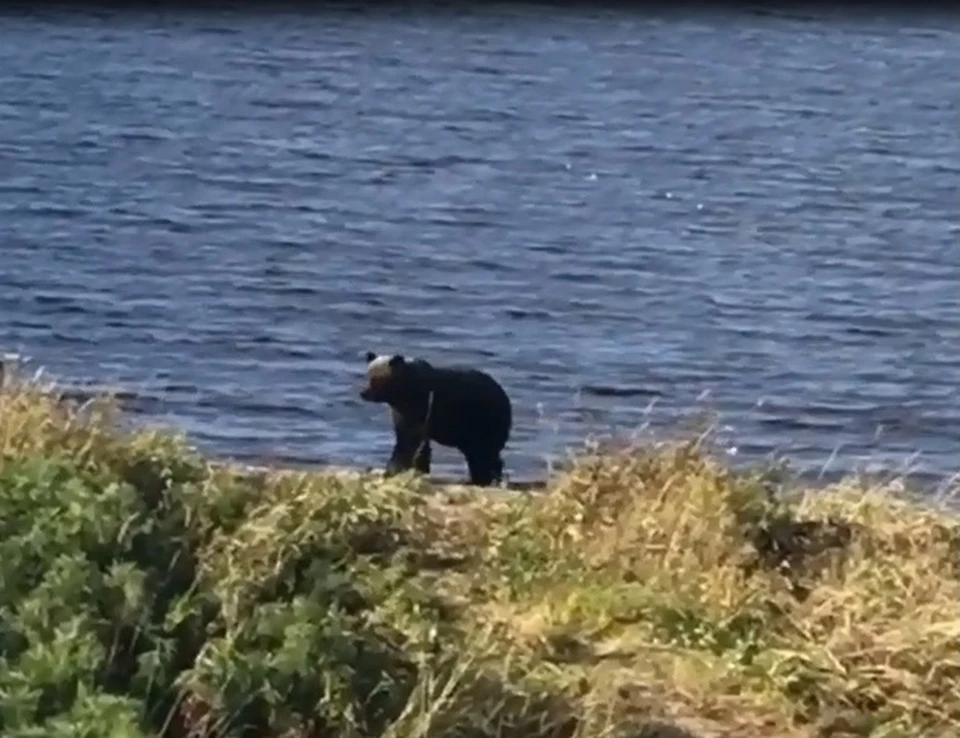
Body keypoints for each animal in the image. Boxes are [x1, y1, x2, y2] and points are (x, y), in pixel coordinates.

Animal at [358, 350, 510, 484]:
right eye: (368, 374)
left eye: (377, 378)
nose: (363, 392)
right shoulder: (402, 413)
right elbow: (407, 438)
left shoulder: (421, 406)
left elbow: (409, 440)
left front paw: (394, 468)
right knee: (477, 454)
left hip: (483, 419)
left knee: (484, 452)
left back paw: (485, 478)